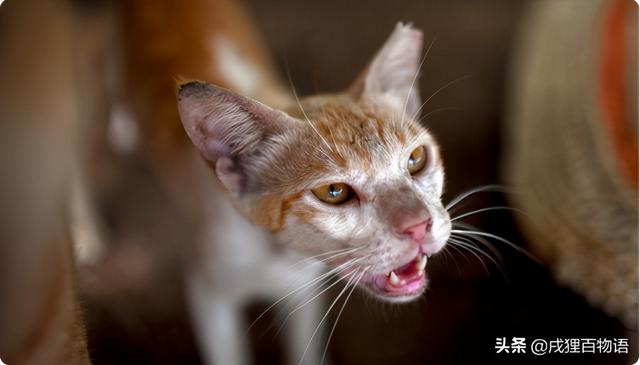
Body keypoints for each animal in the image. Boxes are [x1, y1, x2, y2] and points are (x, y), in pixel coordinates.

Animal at [176, 21, 450, 362]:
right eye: (334, 191)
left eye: (416, 159)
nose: (418, 226)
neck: (282, 254)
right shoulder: (207, 295)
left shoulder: (303, 293)